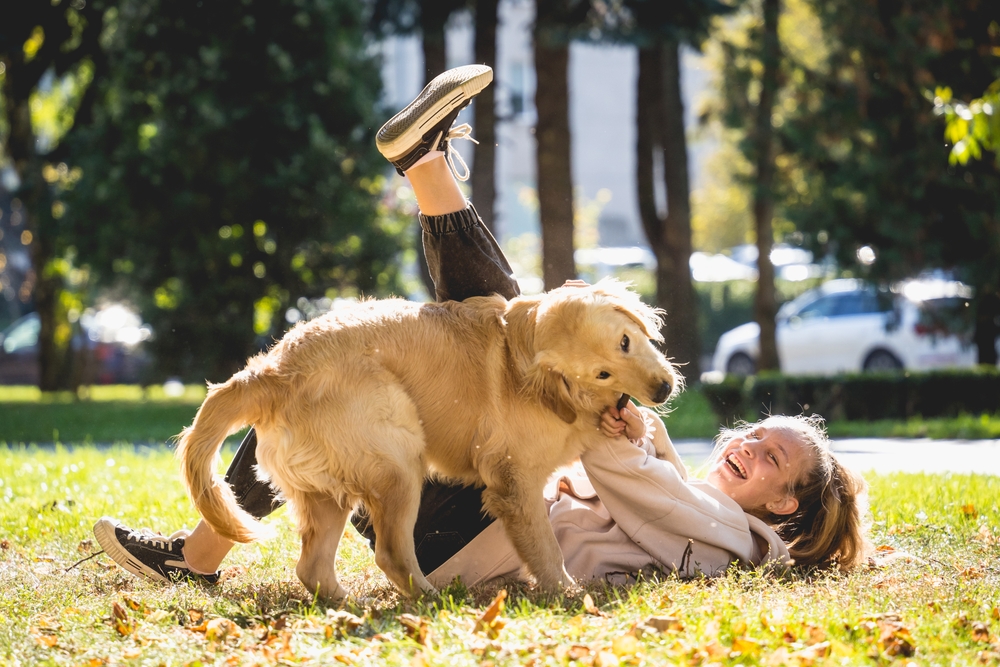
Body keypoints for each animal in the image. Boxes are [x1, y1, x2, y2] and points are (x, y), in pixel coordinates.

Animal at [178, 280, 680, 604]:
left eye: (626, 342)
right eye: (603, 372)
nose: (661, 390)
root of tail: (271, 370)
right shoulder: (514, 485)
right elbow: (545, 548)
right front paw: (567, 593)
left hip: (326, 494)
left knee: (313, 568)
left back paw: (349, 605)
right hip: (400, 462)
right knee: (392, 555)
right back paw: (433, 601)